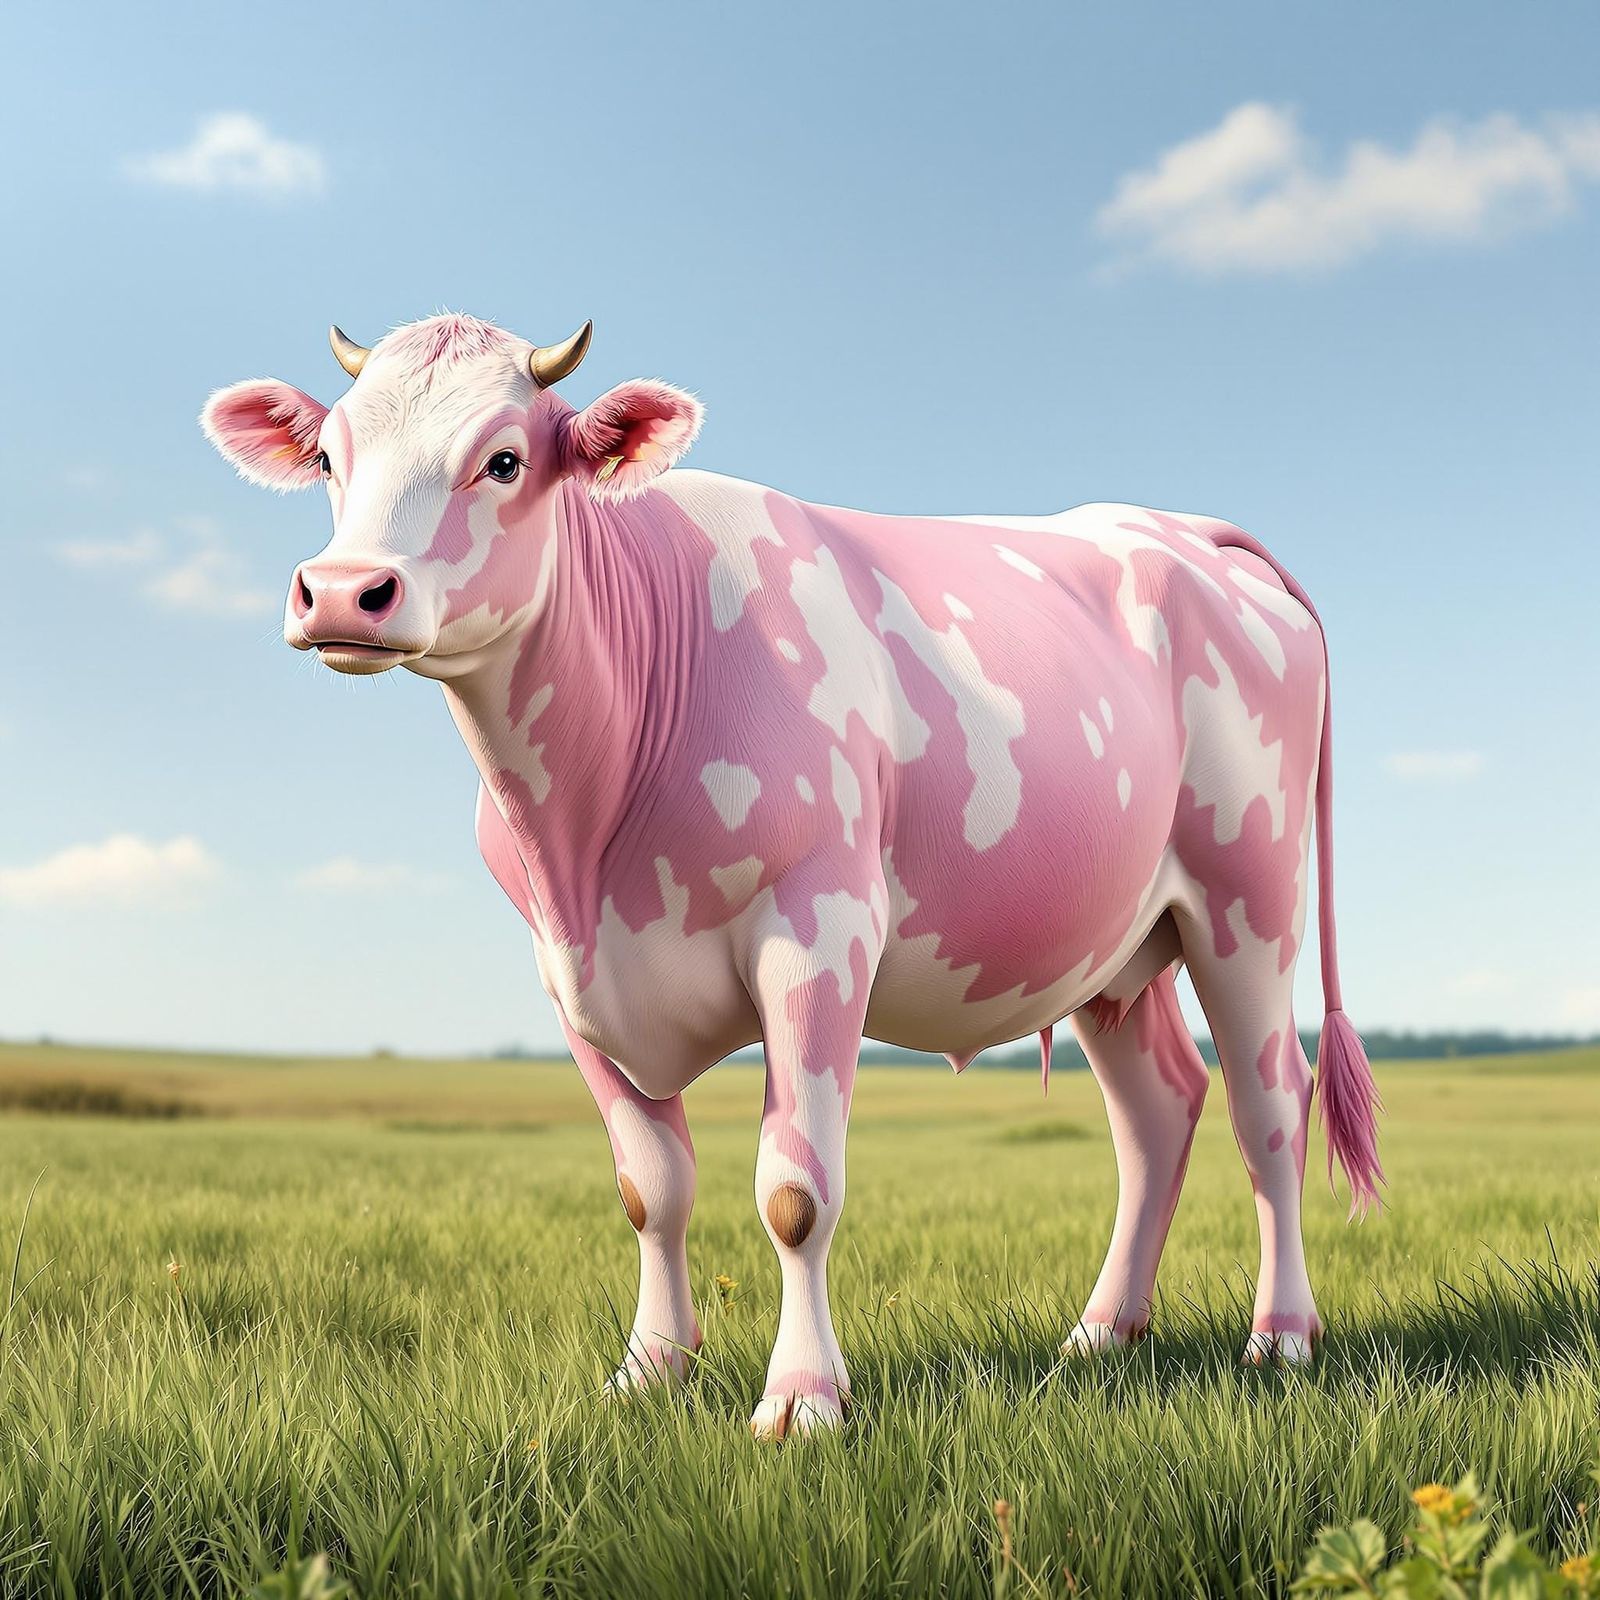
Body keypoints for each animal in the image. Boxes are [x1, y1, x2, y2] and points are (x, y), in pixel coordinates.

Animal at [201, 312, 1382, 1438]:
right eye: (330, 457)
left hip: (1248, 899)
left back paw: (1281, 1337)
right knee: (1157, 1110)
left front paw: (803, 1398)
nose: (343, 593)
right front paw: (649, 1372)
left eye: (502, 460)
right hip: (1115, 944)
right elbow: (650, 1188)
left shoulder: (819, 932)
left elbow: (794, 1191)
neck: (592, 829)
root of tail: (1181, 530)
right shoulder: (567, 974)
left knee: (1269, 1104)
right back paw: (1101, 1332)